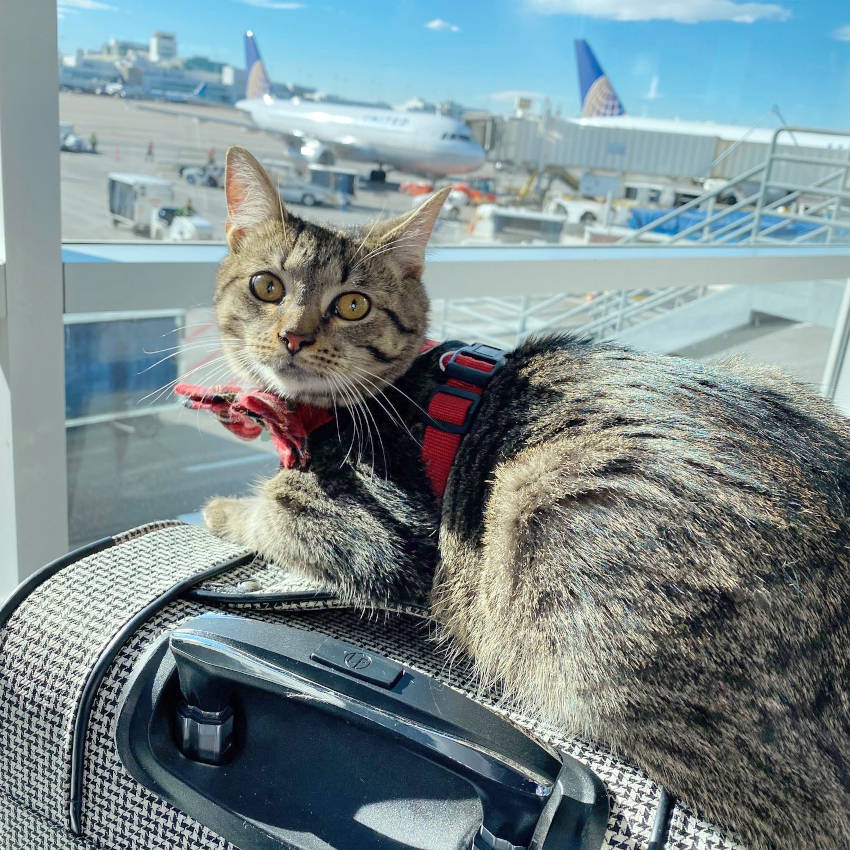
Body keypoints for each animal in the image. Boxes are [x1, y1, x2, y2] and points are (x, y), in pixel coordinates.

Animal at [200, 146, 848, 848]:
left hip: (544, 525)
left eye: (351, 305)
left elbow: (273, 508)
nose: (292, 336)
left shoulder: (380, 534)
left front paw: (224, 508)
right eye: (266, 286)